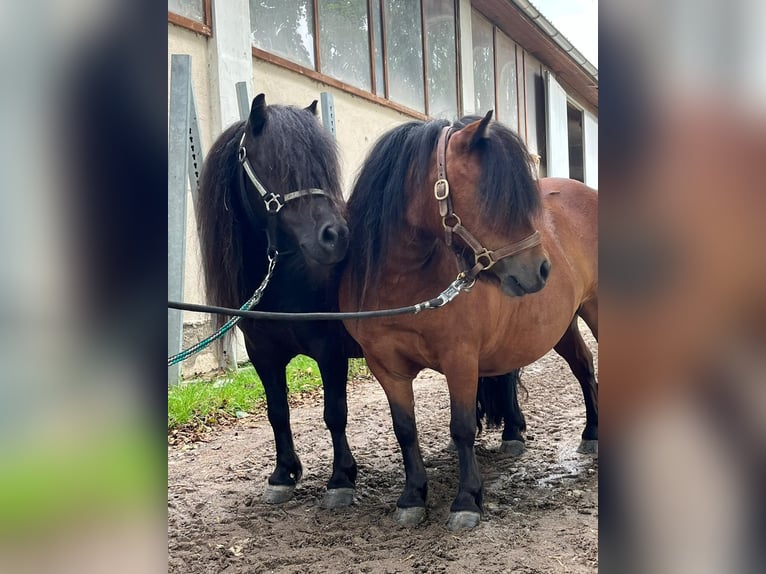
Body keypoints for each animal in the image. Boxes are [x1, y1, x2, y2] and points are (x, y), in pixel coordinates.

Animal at [195, 94, 356, 508]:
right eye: (277, 164)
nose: (336, 237)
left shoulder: (330, 350)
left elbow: (335, 412)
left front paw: (341, 478)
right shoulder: (263, 354)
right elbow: (277, 412)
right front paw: (283, 474)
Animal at [340, 115, 600, 532]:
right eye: (490, 196)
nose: (542, 269)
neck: (402, 281)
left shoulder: (460, 359)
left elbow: (461, 427)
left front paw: (466, 500)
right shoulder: (386, 367)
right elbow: (404, 430)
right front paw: (413, 496)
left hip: (595, 307)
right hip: (563, 325)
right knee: (583, 367)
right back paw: (591, 432)